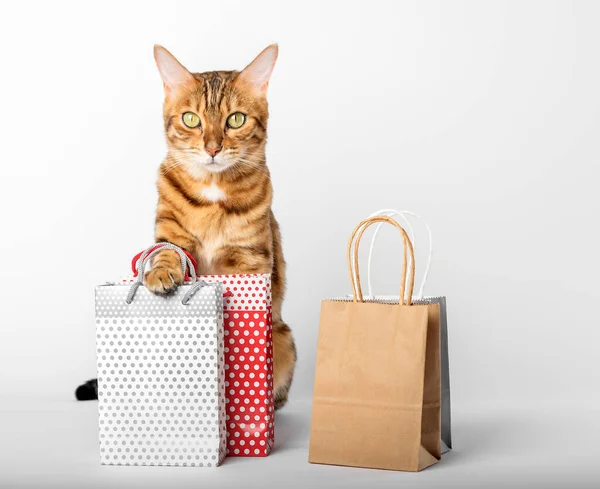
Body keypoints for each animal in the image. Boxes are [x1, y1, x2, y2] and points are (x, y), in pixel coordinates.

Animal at [76, 44, 296, 408]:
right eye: (191, 119)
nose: (212, 148)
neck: (213, 191)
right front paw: (161, 274)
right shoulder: (171, 233)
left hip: (285, 343)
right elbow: (168, 253)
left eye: (236, 119)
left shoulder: (249, 258)